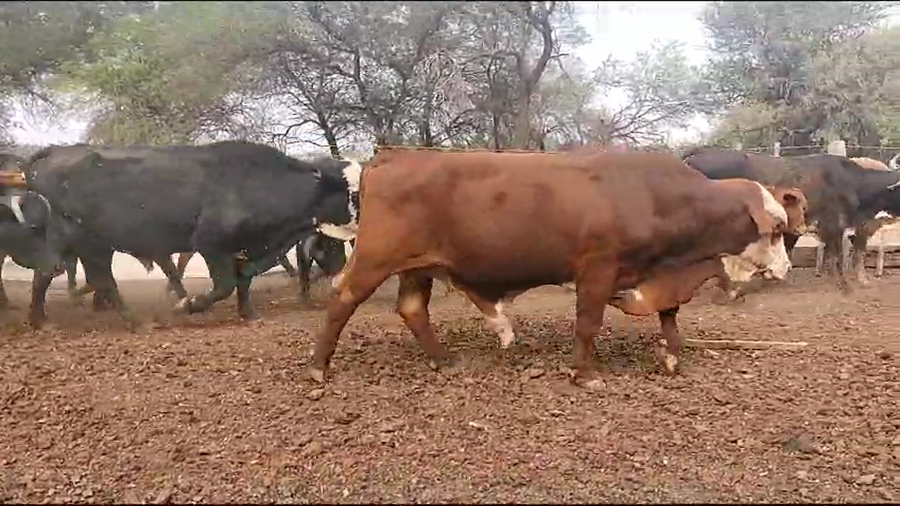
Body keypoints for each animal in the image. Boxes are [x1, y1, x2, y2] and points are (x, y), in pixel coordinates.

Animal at [21, 141, 360, 329]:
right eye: (352, 191)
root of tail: (58, 151)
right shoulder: (210, 244)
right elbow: (224, 285)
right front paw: (188, 305)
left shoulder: (245, 248)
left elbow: (244, 279)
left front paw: (248, 313)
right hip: (88, 241)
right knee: (96, 278)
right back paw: (135, 321)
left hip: (77, 241)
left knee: (47, 272)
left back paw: (40, 321)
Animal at [308, 150, 804, 388]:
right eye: (778, 228)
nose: (785, 269)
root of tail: (394, 154)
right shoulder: (597, 269)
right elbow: (587, 323)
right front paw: (585, 374)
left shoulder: (659, 274)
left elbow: (670, 318)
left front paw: (672, 357)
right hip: (375, 258)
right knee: (342, 299)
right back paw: (317, 369)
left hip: (419, 265)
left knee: (412, 308)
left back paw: (444, 360)